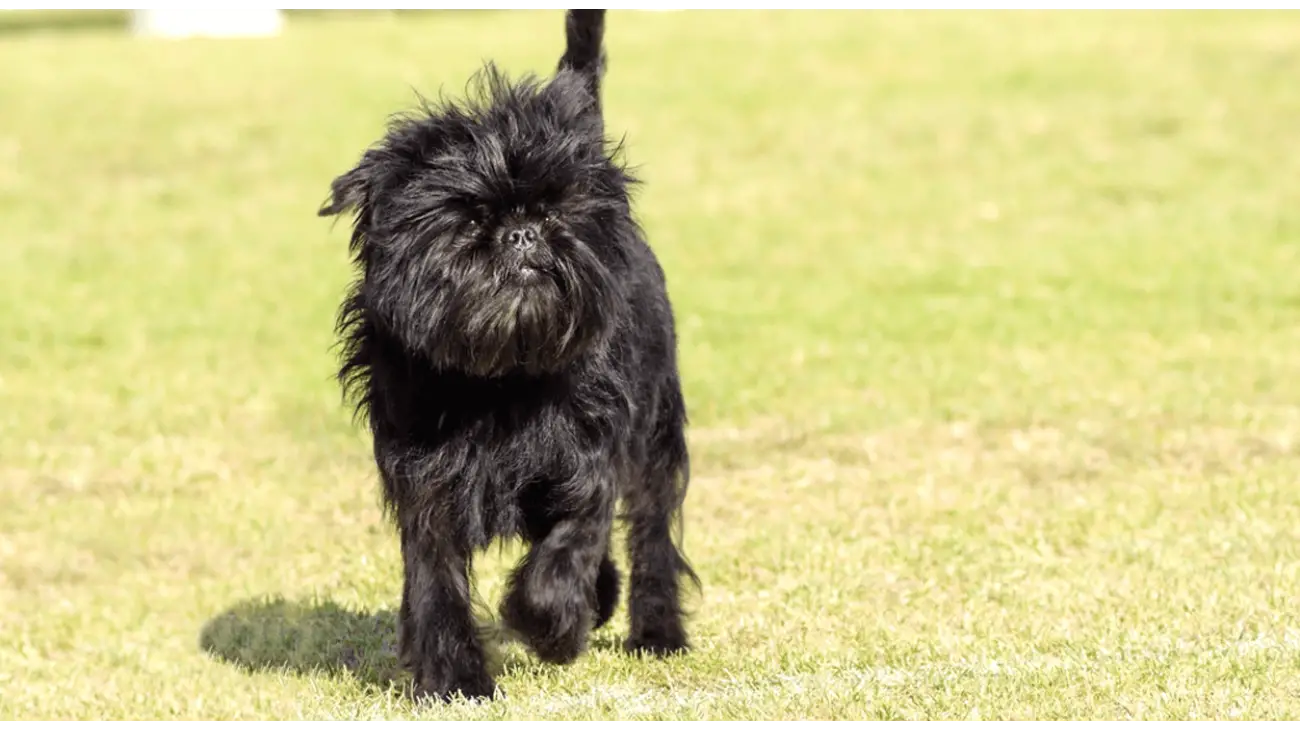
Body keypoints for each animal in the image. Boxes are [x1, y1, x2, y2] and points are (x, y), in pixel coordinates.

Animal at [315, 5, 702, 701]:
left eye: (553, 210)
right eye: (469, 218)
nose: (523, 233)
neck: (499, 377)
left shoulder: (590, 457)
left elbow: (570, 545)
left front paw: (550, 626)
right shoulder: (424, 480)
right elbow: (436, 579)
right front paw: (455, 680)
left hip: (657, 425)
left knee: (651, 526)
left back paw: (654, 631)